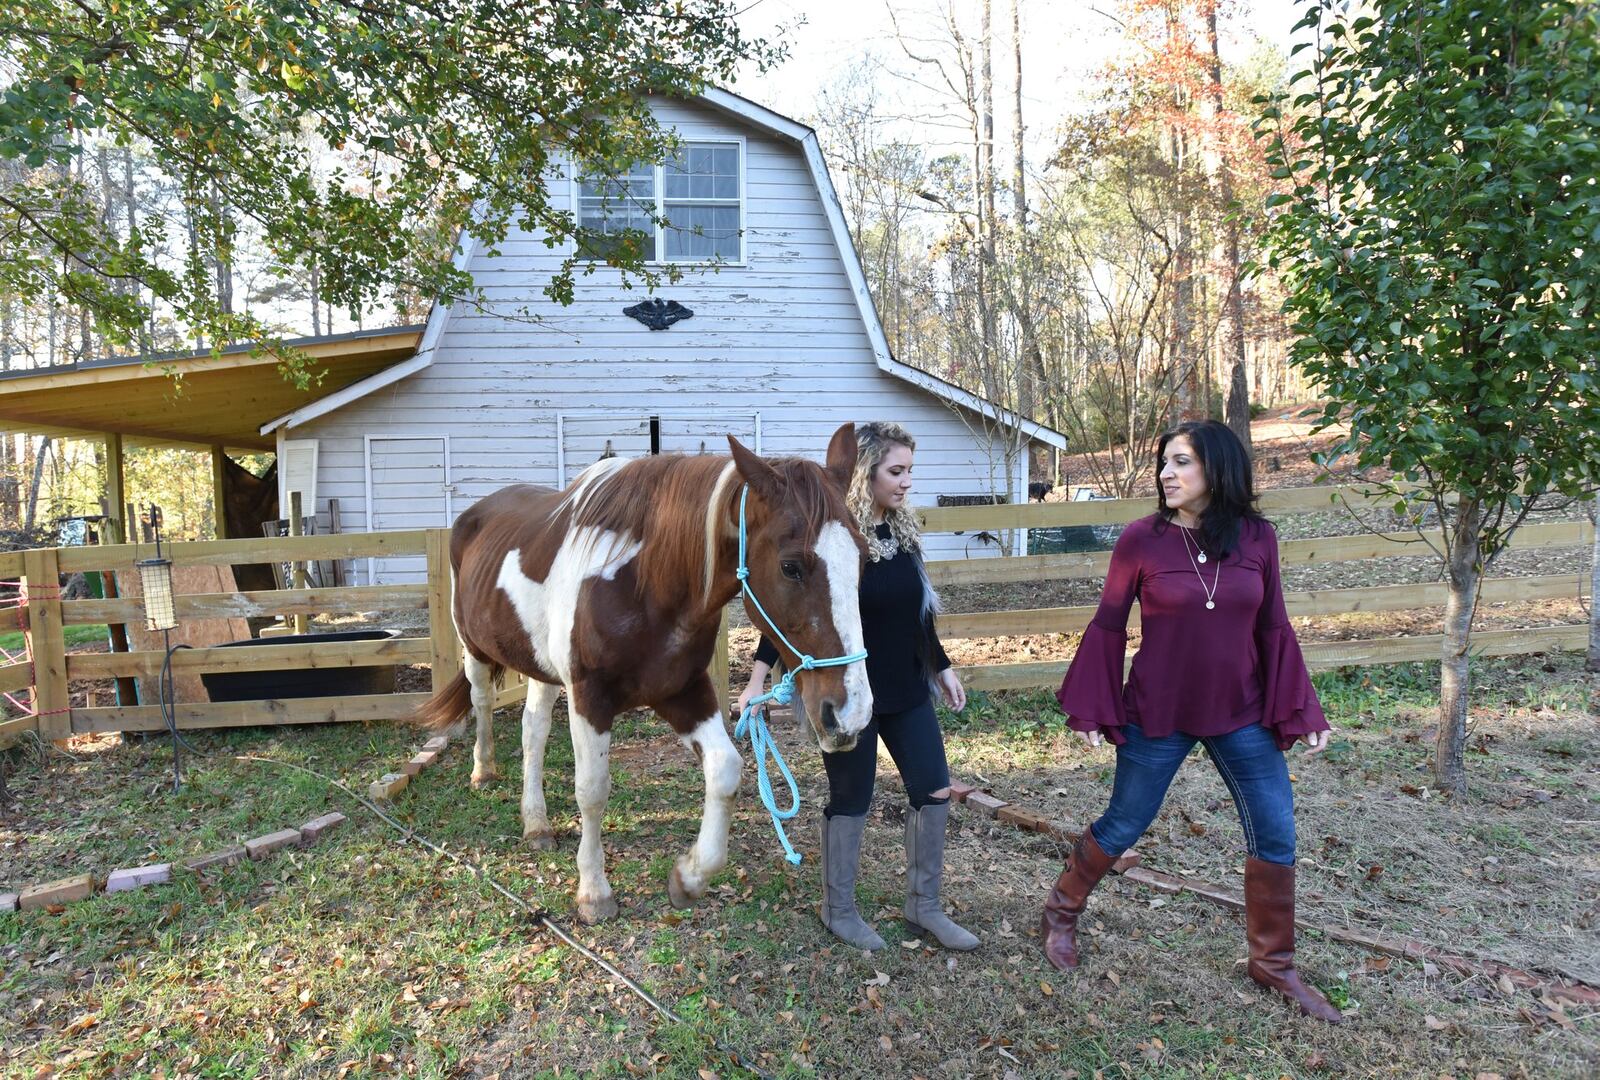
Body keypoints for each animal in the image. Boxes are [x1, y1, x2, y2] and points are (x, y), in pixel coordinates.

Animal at [406, 422, 870, 921]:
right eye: (791, 567)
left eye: (864, 556)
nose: (851, 716)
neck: (643, 583)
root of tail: (472, 514)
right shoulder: (589, 698)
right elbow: (592, 790)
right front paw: (594, 892)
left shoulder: (683, 691)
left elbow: (726, 771)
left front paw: (688, 877)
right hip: (475, 649)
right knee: (482, 703)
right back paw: (483, 772)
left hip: (543, 671)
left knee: (533, 730)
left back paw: (536, 824)